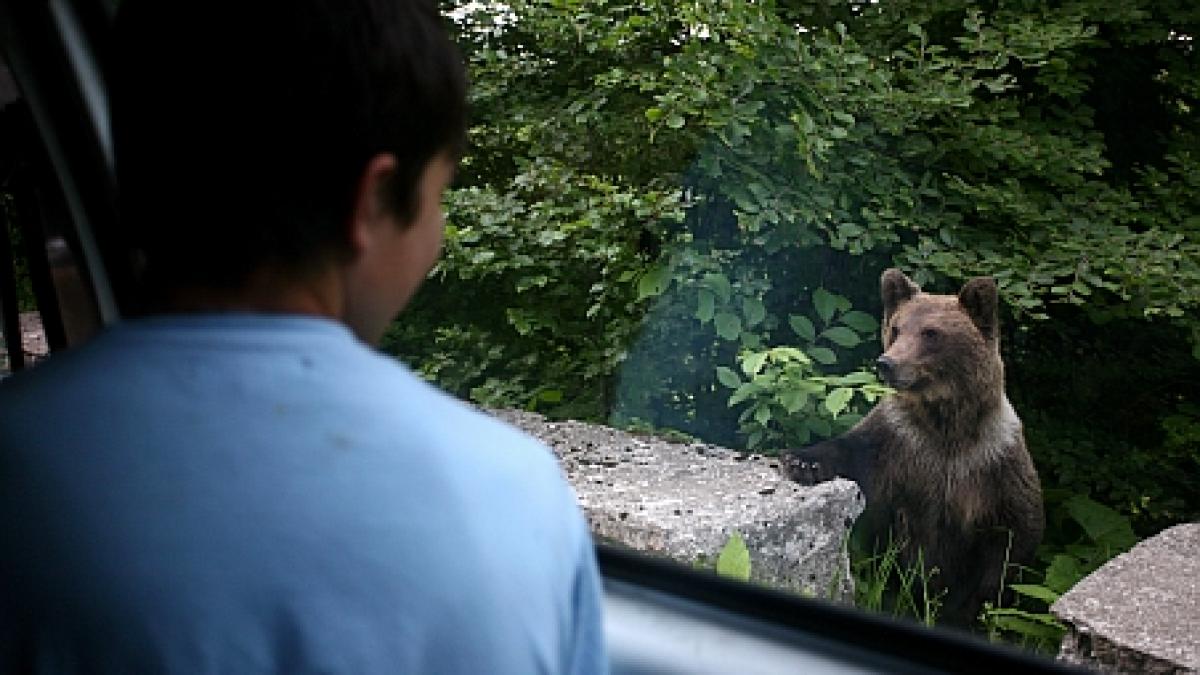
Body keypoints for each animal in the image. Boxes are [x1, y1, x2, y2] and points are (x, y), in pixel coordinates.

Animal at [782, 267, 1046, 624]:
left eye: (931, 333)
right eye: (896, 328)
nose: (886, 363)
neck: (946, 428)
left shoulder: (993, 462)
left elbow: (1015, 535)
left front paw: (969, 609)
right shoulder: (898, 442)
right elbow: (852, 454)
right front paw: (802, 462)